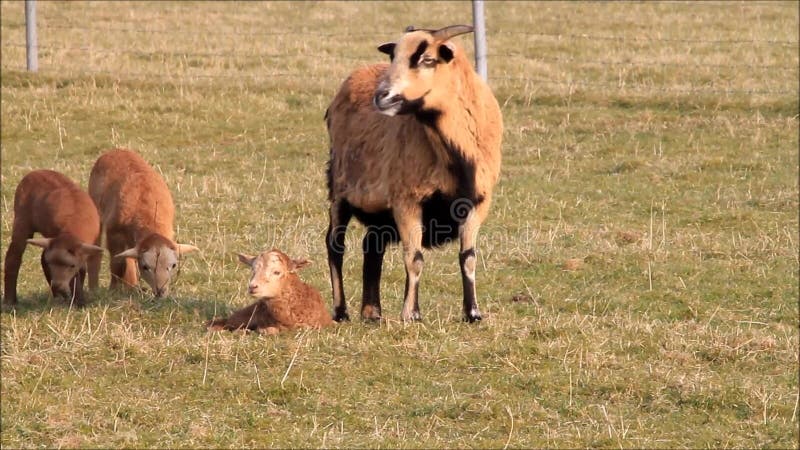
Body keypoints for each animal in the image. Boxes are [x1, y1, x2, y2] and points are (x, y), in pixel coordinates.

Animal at [2, 171, 103, 308]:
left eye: (71, 265)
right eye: (51, 264)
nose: (57, 287)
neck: (71, 231)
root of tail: (34, 172)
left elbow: (80, 271)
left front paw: (78, 299)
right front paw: (75, 300)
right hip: (22, 221)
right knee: (13, 257)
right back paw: (10, 301)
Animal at [88, 148, 198, 298]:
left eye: (174, 265)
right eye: (145, 267)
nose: (160, 292)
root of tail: (116, 150)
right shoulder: (113, 233)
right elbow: (117, 264)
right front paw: (114, 289)